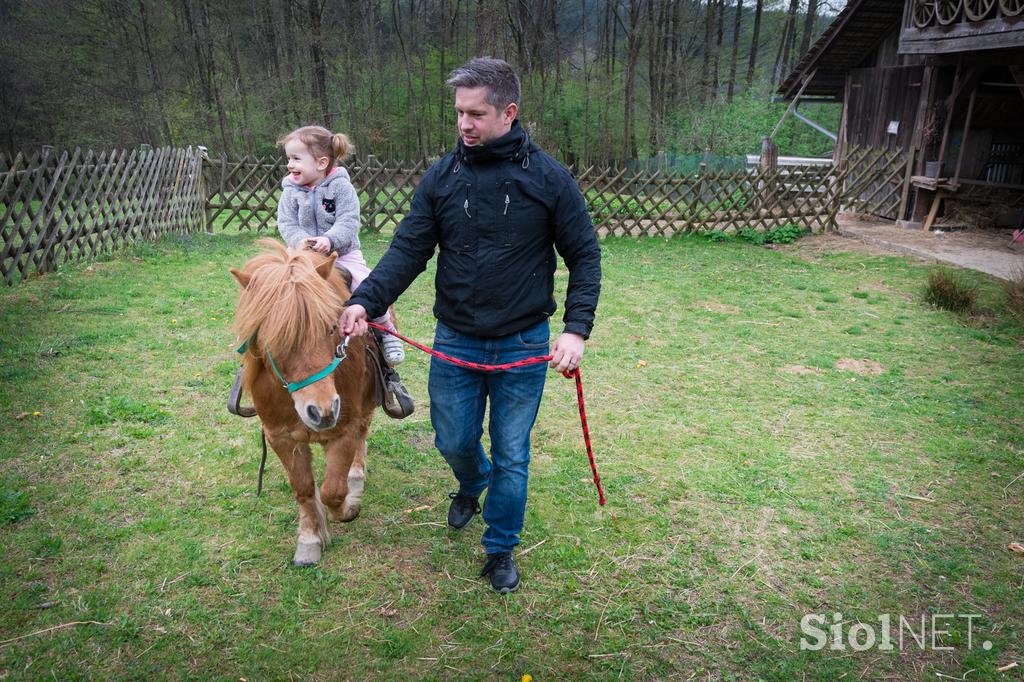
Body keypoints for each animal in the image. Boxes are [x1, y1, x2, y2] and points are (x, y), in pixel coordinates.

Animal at [230, 238, 378, 561]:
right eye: (273, 339)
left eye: (332, 327)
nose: (322, 412)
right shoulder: (282, 438)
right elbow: (304, 489)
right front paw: (310, 539)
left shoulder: (344, 431)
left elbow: (333, 491)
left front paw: (349, 508)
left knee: (363, 433)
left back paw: (356, 477)